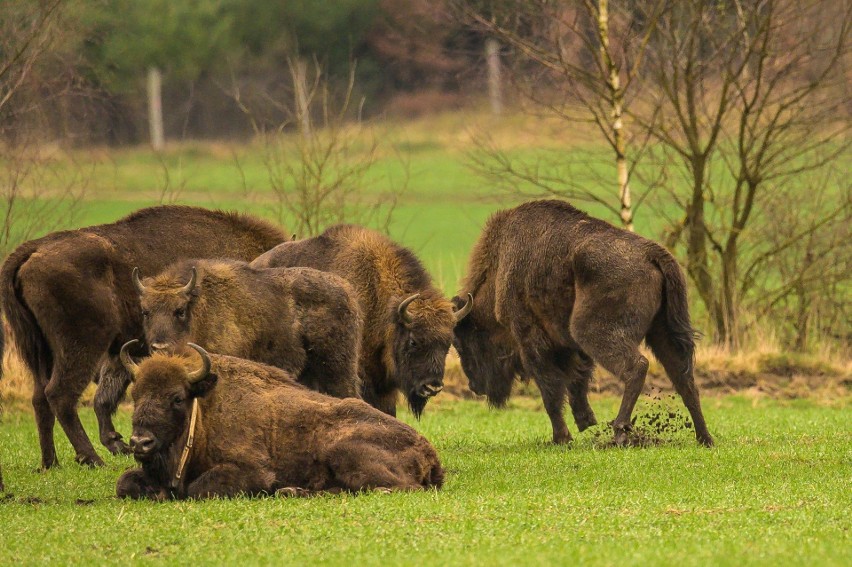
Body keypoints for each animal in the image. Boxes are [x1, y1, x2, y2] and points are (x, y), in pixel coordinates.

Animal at [0, 206, 288, 468]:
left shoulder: (126, 352)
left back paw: (51, 463)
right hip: (81, 346)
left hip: (41, 350)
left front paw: (117, 442)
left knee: (40, 397)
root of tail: (32, 249)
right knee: (60, 394)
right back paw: (92, 459)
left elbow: (106, 397)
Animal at [115, 340, 446, 500]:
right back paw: (292, 492)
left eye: (177, 398)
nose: (140, 442)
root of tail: (430, 452)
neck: (205, 411)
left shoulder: (253, 470)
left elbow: (198, 488)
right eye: (135, 393)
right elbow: (124, 482)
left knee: (398, 487)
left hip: (344, 450)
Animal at [135, 258, 362, 400]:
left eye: (180, 310)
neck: (199, 308)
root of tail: (349, 292)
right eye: (145, 311)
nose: (160, 347)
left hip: (337, 369)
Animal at [452, 200, 712, 448]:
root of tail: (651, 252)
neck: (500, 268)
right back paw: (704, 438)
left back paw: (620, 431)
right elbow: (577, 380)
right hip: (661, 332)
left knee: (637, 366)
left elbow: (550, 389)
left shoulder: (530, 338)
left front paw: (561, 437)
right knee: (684, 379)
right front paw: (585, 422)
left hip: (591, 332)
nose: (474, 385)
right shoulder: (570, 346)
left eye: (463, 343)